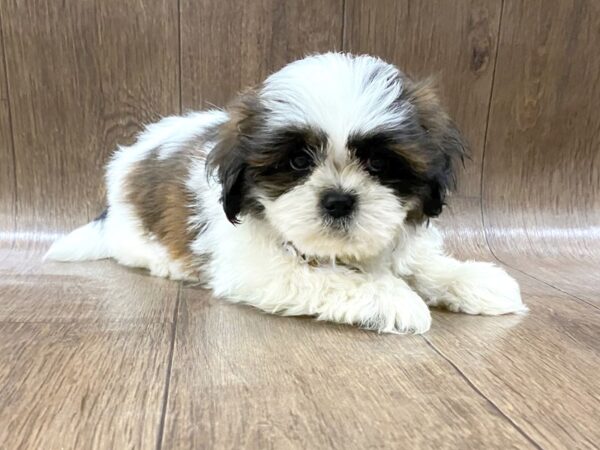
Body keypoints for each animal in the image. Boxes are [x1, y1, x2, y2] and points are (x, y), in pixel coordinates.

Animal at [47, 52, 524, 334]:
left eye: (378, 163)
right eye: (297, 162)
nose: (338, 200)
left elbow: (420, 263)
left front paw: (474, 280)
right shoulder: (257, 267)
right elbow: (327, 278)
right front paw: (392, 298)